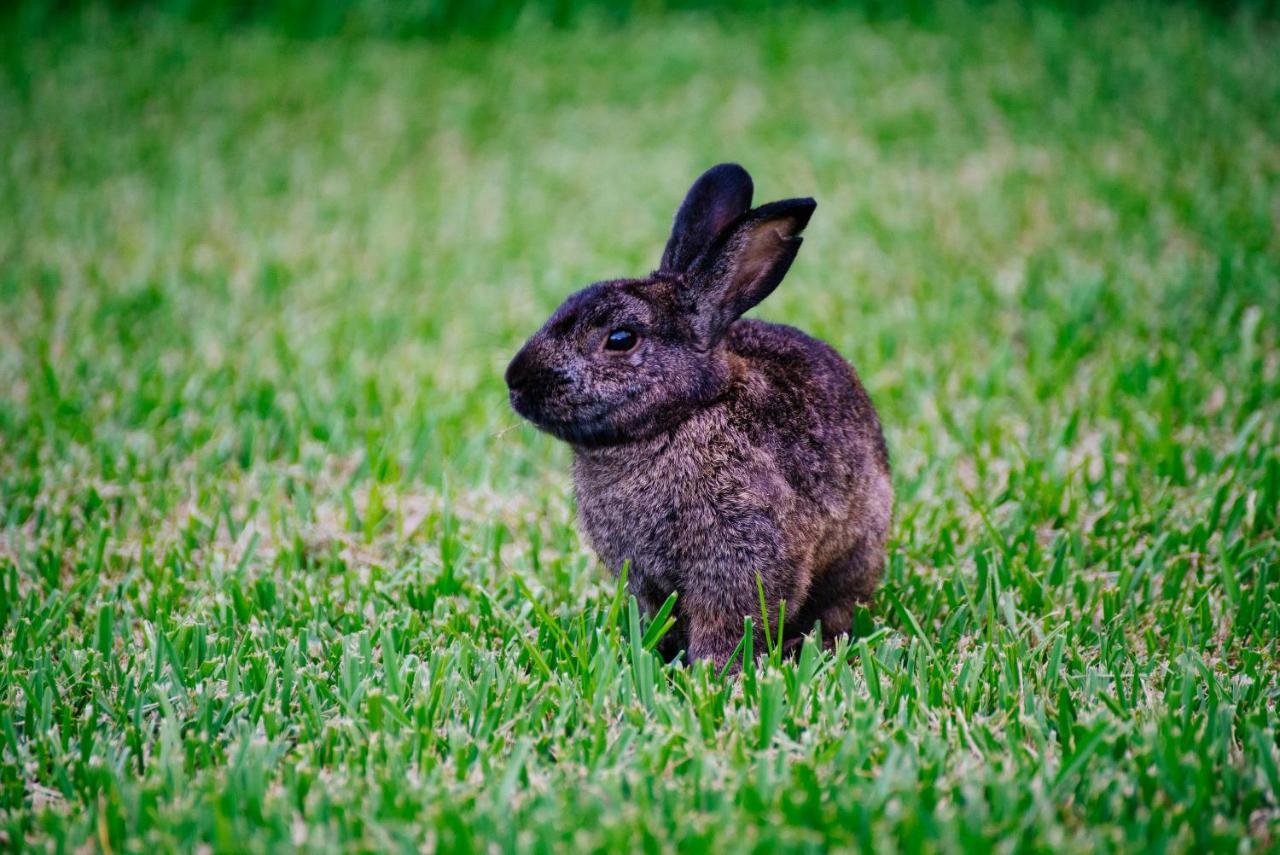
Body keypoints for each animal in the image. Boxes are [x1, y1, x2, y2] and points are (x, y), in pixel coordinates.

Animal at [501, 159, 890, 665]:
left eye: (620, 339)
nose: (515, 380)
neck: (684, 414)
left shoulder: (739, 558)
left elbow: (727, 620)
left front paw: (711, 669)